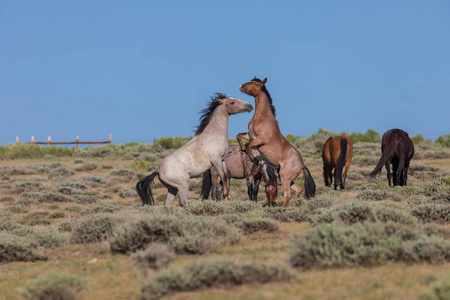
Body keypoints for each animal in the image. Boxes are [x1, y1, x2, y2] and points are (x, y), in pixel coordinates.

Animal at [236, 77, 316, 206]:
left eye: (256, 84)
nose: (241, 86)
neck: (262, 117)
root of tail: (302, 164)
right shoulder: (251, 136)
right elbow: (239, 136)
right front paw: (243, 149)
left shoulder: (260, 139)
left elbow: (249, 146)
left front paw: (254, 159)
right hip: (282, 176)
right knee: (298, 190)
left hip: (284, 177)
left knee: (287, 195)